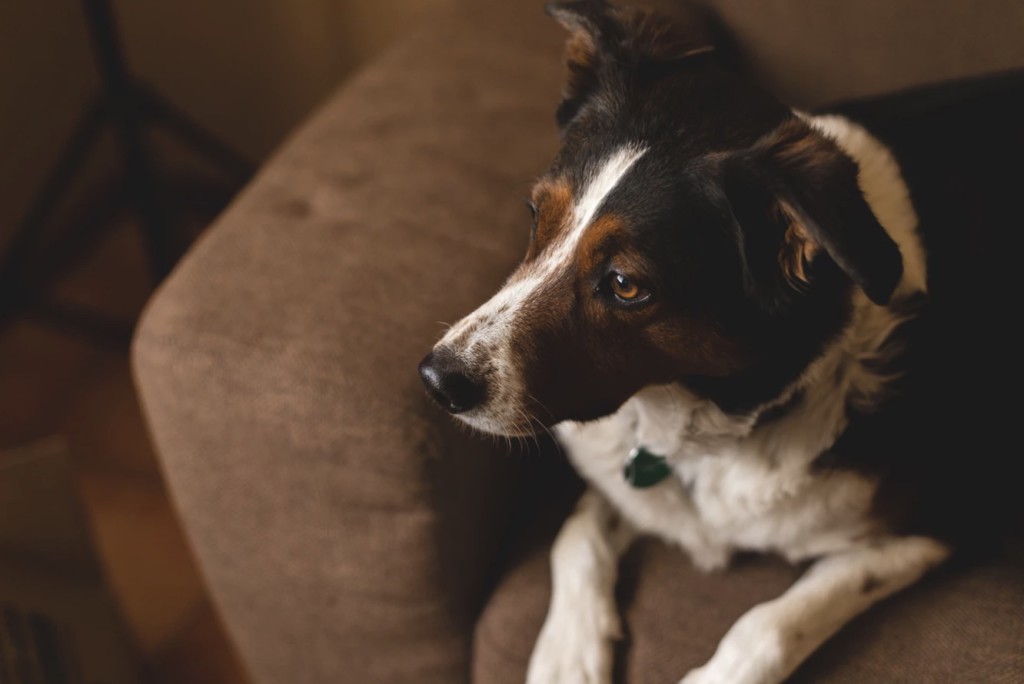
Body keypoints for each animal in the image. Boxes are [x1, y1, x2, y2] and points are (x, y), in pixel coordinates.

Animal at [417, 1, 1015, 684]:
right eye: (536, 215)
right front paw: (568, 654)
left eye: (625, 285)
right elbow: (576, 532)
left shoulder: (937, 523)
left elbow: (771, 622)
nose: (436, 381)